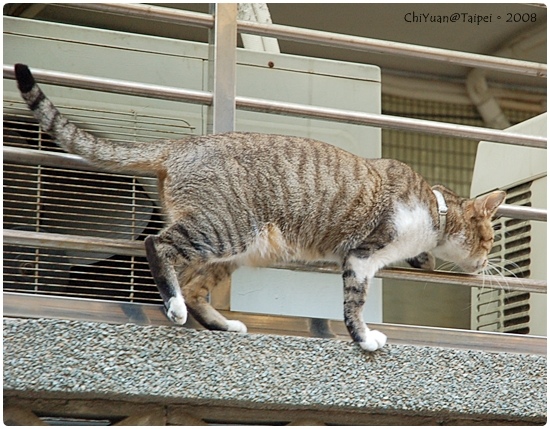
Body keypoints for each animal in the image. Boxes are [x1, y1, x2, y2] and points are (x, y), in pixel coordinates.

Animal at [15, 64, 506, 352]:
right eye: (489, 238)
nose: (488, 262)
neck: (435, 209)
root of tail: (182, 145)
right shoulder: (363, 255)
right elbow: (355, 303)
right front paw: (365, 338)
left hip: (232, 249)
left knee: (196, 288)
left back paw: (222, 324)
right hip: (222, 228)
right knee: (158, 246)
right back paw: (171, 305)